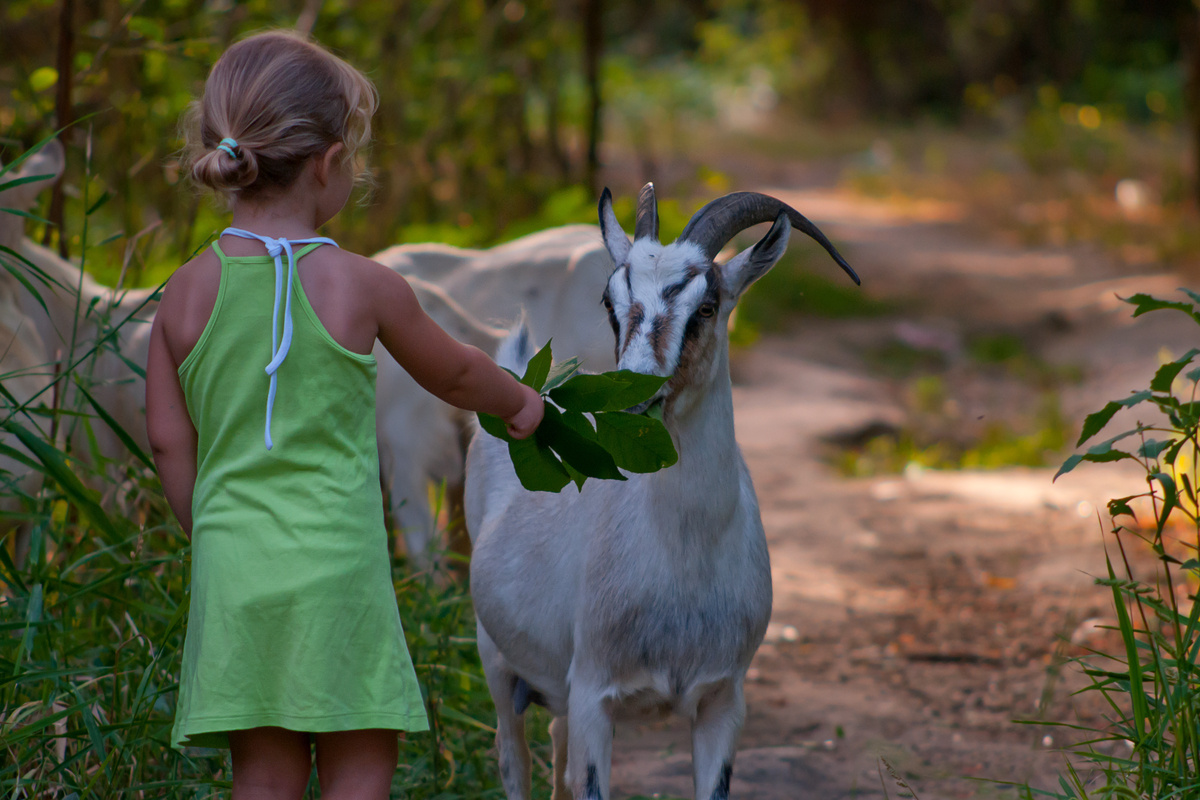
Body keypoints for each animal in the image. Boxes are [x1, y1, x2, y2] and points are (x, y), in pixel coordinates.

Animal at [460, 184, 864, 796]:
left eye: (707, 307)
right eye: (609, 303)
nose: (626, 399)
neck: (684, 561)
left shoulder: (723, 699)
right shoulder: (594, 696)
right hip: (497, 661)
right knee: (513, 759)